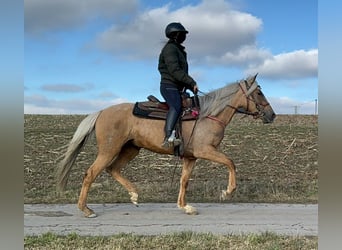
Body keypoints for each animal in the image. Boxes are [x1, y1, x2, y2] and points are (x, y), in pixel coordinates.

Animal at [56, 73, 276, 217]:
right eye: (259, 93)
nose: (272, 115)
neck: (208, 115)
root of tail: (101, 112)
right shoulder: (206, 151)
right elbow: (230, 162)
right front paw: (227, 192)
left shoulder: (190, 157)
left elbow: (184, 180)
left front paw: (184, 206)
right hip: (109, 150)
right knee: (91, 173)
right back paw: (86, 209)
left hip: (130, 149)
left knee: (113, 169)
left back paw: (134, 195)